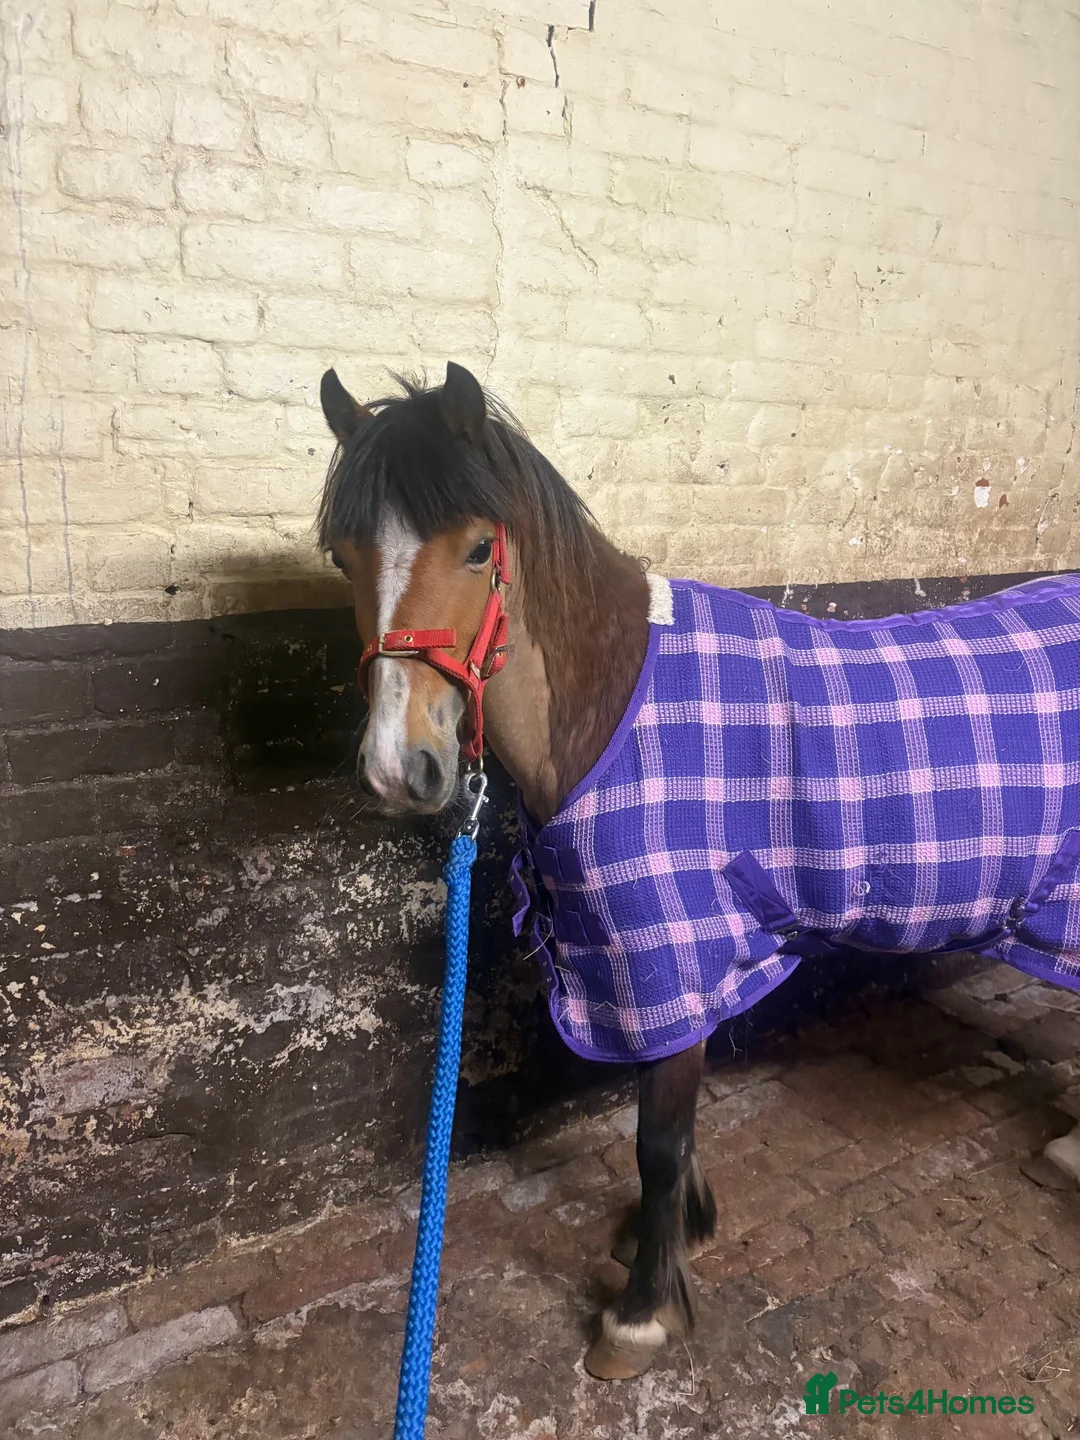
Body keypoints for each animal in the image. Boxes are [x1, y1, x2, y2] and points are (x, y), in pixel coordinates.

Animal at [316, 359, 1080, 1381]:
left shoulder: (668, 942)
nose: (400, 770)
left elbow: (658, 1137)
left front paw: (640, 1311)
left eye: (479, 549)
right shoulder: (654, 954)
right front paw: (671, 1232)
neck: (615, 711)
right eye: (342, 557)